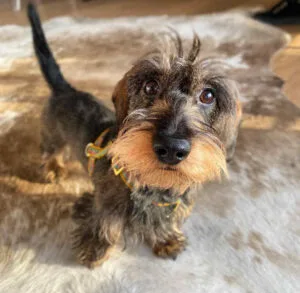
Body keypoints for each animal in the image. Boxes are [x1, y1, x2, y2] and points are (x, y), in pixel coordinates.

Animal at [26, 3, 241, 266]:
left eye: (208, 95)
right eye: (150, 86)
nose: (171, 148)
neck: (154, 184)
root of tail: (66, 90)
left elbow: (163, 223)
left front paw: (166, 239)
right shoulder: (105, 204)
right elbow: (105, 223)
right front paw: (96, 249)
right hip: (52, 134)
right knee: (50, 151)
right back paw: (53, 168)